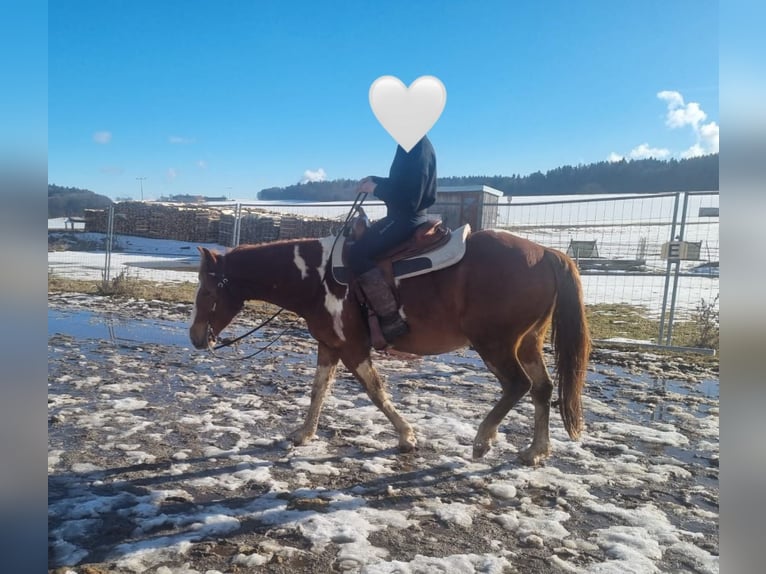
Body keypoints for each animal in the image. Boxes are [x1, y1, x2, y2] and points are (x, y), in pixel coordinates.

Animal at [189, 228, 590, 465]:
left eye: (206, 291)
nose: (195, 336)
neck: (316, 278)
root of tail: (546, 252)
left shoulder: (352, 348)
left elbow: (376, 392)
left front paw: (407, 437)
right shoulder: (329, 346)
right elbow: (319, 391)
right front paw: (304, 434)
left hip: (495, 343)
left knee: (518, 385)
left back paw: (483, 440)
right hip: (528, 342)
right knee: (542, 388)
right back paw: (536, 450)